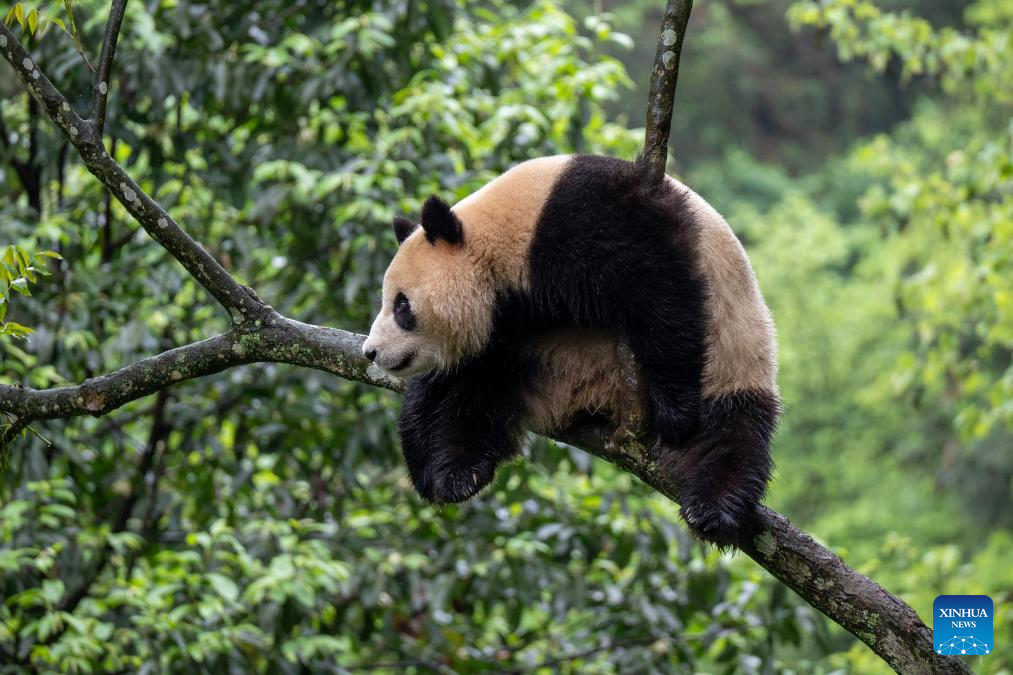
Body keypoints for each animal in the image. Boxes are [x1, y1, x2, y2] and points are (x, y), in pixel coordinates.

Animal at [360, 154, 777, 543]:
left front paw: (674, 413)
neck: (502, 239)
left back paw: (712, 509)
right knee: (480, 398)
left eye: (401, 306)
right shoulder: (510, 320)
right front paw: (426, 463)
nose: (371, 352)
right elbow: (448, 379)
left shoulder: (595, 219)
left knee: (731, 437)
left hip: (734, 361)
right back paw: (460, 473)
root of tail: (592, 397)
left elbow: (661, 292)